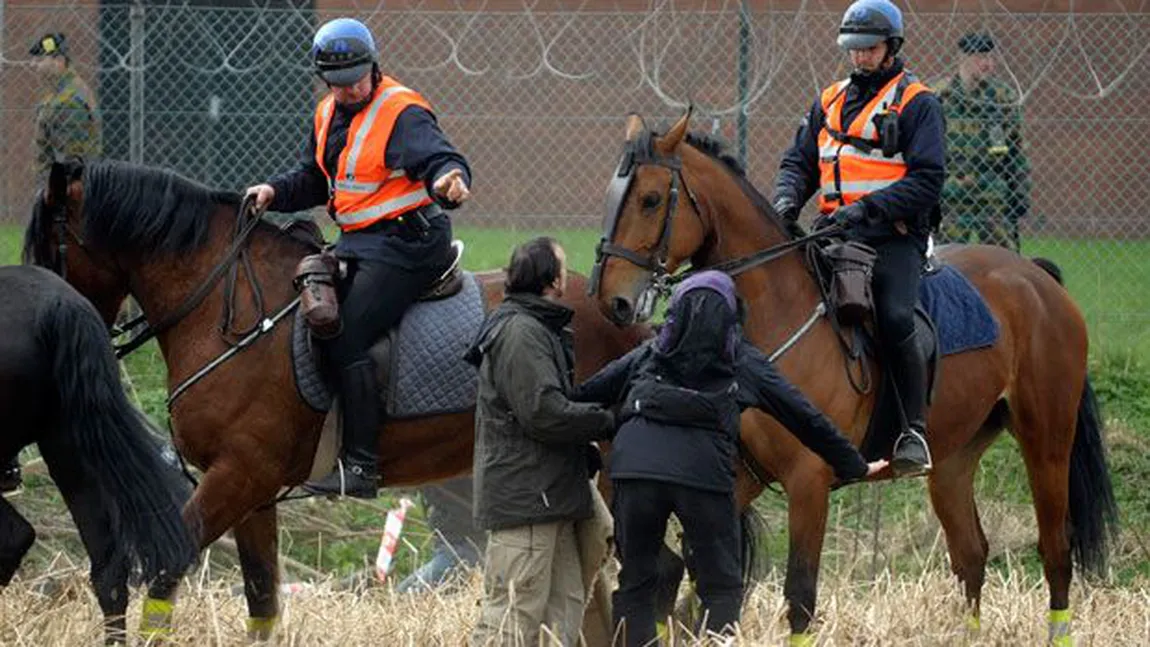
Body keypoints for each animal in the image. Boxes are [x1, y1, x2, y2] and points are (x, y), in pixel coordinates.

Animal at [22, 158, 653, 638]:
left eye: (49, 244)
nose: (41, 321)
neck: (229, 309)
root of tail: (627, 317)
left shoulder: (237, 476)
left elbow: (168, 567)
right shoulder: (253, 493)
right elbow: (263, 601)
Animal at [588, 111, 1117, 643]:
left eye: (651, 199)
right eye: (611, 198)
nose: (612, 300)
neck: (773, 312)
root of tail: (1035, 276)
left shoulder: (809, 481)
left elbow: (799, 595)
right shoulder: (733, 477)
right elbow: (700, 573)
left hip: (1046, 442)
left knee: (1056, 551)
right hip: (953, 461)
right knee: (971, 553)